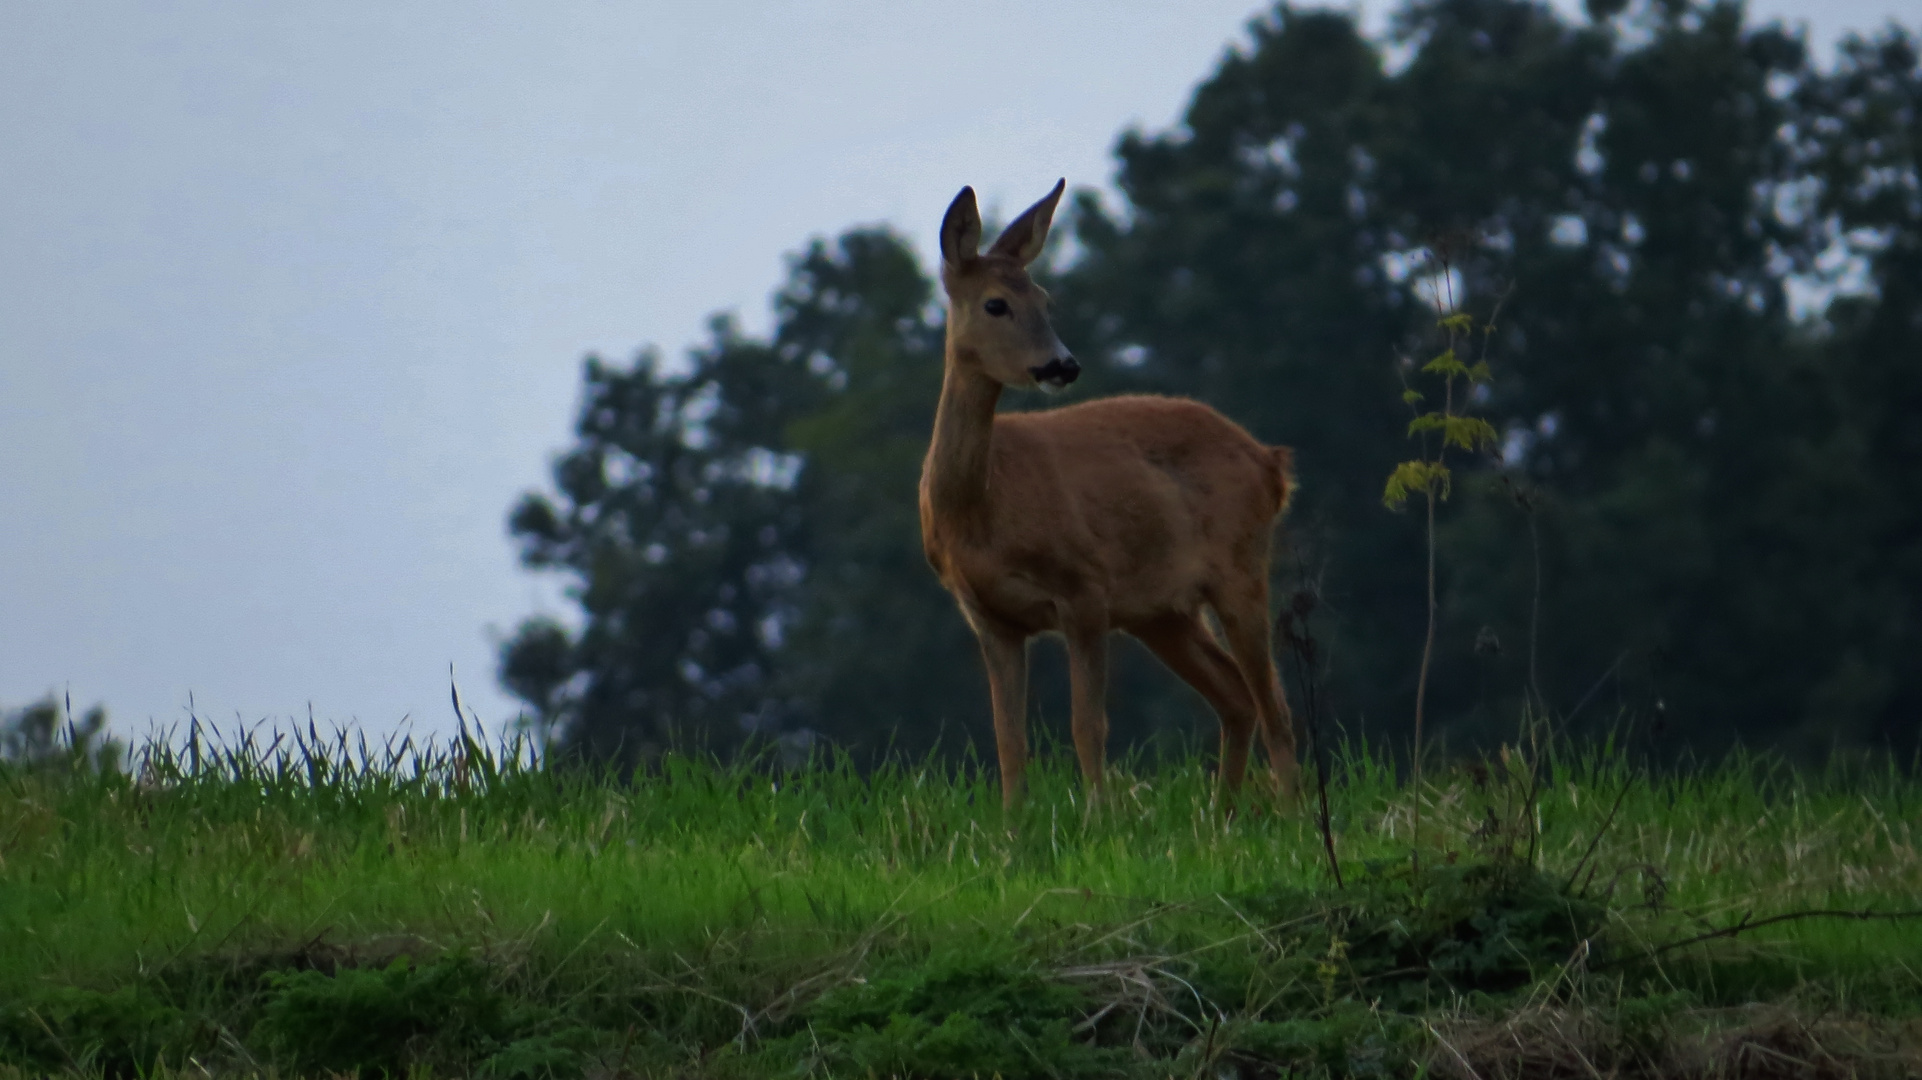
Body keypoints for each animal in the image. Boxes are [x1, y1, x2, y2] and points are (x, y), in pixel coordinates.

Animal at [918, 180, 1306, 807]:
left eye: (1046, 299)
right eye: (996, 304)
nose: (1063, 364)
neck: (982, 509)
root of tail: (1272, 464)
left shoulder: (1086, 588)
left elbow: (1088, 725)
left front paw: (1098, 817)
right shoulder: (988, 615)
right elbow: (1009, 739)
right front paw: (1012, 825)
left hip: (1240, 566)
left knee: (1275, 703)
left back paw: (1291, 815)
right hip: (1163, 610)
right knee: (1235, 696)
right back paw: (1222, 815)